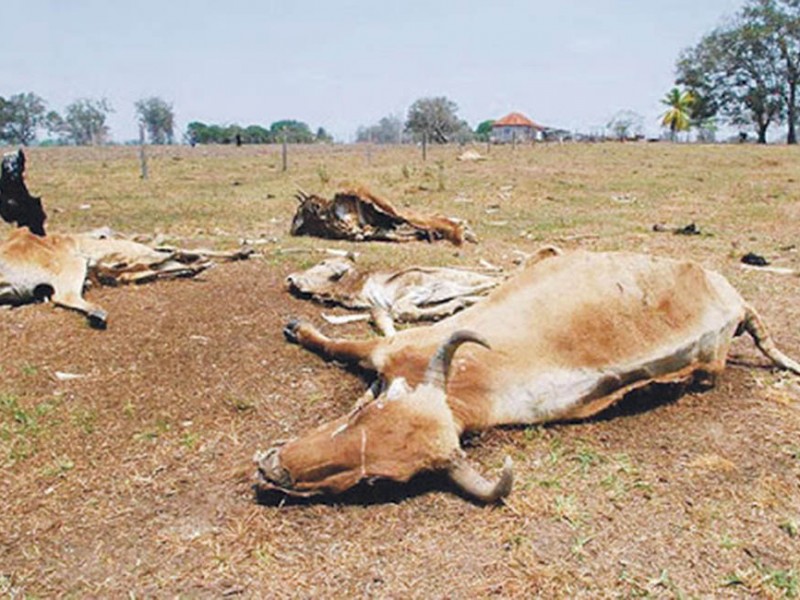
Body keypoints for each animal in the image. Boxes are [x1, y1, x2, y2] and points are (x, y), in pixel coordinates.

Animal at [256, 247, 800, 502]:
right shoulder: (393, 351)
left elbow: (350, 341)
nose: (272, 470)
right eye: (363, 414)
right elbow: (342, 342)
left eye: (377, 481)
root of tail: (734, 299)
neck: (471, 387)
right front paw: (303, 326)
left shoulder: (397, 349)